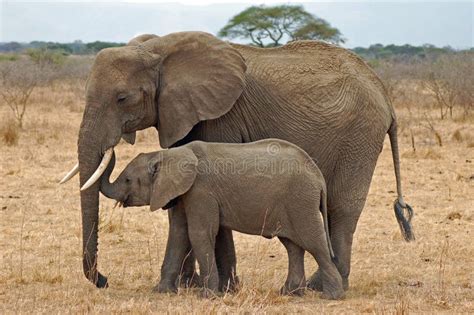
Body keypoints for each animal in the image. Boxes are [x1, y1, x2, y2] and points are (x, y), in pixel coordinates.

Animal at [100, 141, 344, 302]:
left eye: (128, 180)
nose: (108, 147)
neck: (167, 154)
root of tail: (317, 174)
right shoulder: (183, 192)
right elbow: (178, 233)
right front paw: (161, 292)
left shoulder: (200, 190)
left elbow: (199, 234)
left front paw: (207, 296)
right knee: (292, 246)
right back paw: (290, 293)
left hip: (301, 201)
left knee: (314, 243)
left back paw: (332, 296)